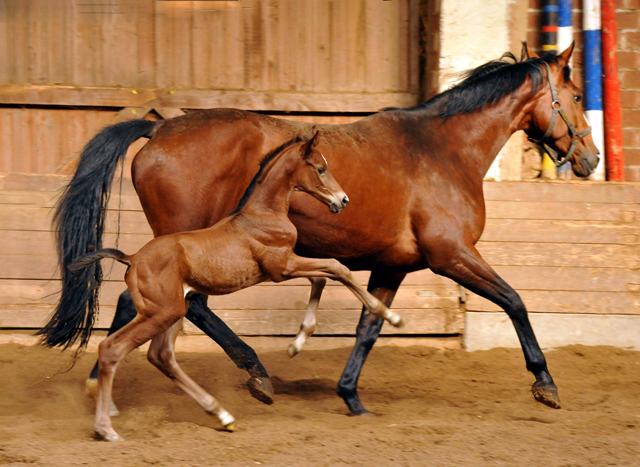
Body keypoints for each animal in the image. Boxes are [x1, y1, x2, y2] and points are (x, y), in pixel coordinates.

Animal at [70, 129, 400, 442]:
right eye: (320, 168)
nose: (342, 200)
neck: (262, 214)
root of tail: (132, 258)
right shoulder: (282, 267)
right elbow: (336, 267)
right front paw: (390, 315)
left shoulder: (284, 265)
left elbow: (321, 276)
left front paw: (297, 343)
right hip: (163, 313)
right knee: (113, 349)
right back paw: (106, 429)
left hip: (174, 310)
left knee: (161, 356)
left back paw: (223, 415)